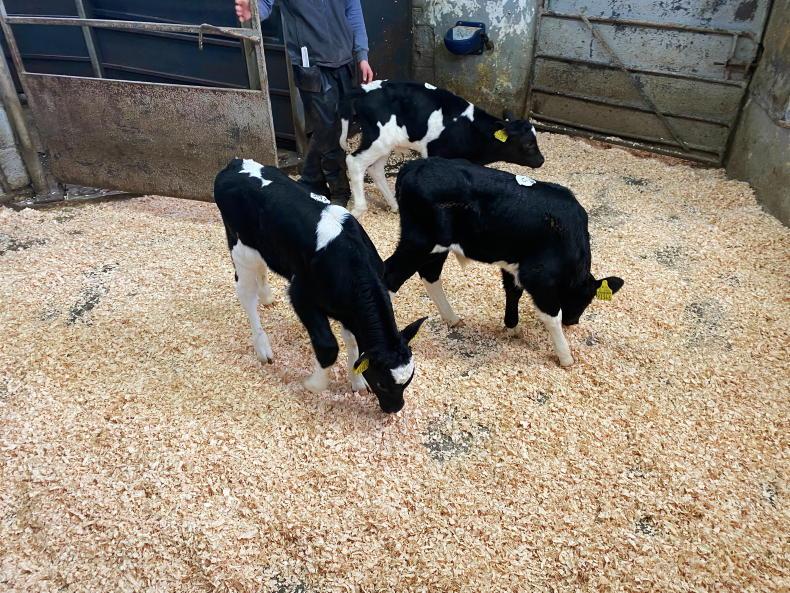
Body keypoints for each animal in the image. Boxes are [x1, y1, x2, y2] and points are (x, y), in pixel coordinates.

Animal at [214, 158, 427, 413]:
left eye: (409, 380)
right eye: (382, 383)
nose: (394, 408)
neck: (352, 262)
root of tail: (236, 163)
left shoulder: (350, 312)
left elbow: (353, 344)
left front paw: (357, 381)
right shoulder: (301, 296)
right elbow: (328, 347)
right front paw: (314, 384)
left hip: (265, 248)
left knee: (261, 272)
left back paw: (266, 297)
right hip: (241, 249)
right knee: (246, 295)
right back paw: (263, 348)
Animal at [338, 80, 545, 217]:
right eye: (529, 143)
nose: (541, 160)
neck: (470, 129)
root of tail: (365, 89)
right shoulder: (439, 155)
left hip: (386, 144)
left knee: (376, 169)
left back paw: (396, 205)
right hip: (377, 140)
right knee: (354, 162)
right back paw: (359, 209)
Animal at [383, 158, 624, 367]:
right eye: (587, 299)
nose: (573, 322)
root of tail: (415, 165)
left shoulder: (513, 264)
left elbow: (512, 291)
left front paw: (511, 326)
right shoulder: (538, 275)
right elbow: (552, 316)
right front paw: (566, 357)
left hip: (437, 247)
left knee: (430, 274)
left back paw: (452, 318)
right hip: (420, 242)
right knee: (390, 276)